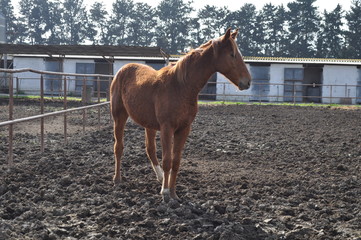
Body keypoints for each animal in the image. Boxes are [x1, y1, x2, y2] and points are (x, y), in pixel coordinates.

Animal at [109, 28, 250, 202]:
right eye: (232, 54)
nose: (247, 82)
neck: (181, 86)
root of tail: (123, 69)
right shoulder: (167, 128)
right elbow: (167, 160)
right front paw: (165, 193)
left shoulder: (184, 129)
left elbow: (176, 161)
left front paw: (174, 194)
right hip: (119, 117)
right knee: (118, 147)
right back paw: (117, 180)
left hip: (149, 125)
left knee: (150, 149)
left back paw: (160, 178)